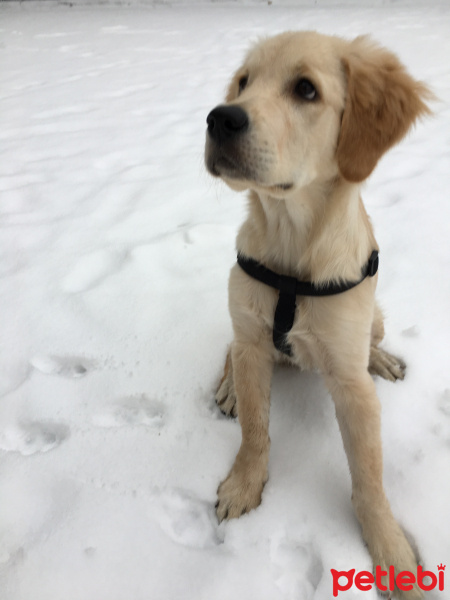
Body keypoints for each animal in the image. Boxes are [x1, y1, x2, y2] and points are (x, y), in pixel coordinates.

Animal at [205, 31, 432, 600]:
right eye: (243, 83)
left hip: (373, 319)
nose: (219, 118)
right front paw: (244, 485)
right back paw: (228, 388)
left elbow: (369, 478)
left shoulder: (352, 388)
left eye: (306, 89)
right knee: (230, 350)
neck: (292, 241)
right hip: (243, 327)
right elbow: (255, 430)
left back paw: (383, 360)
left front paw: (393, 553)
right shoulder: (251, 334)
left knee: (371, 341)